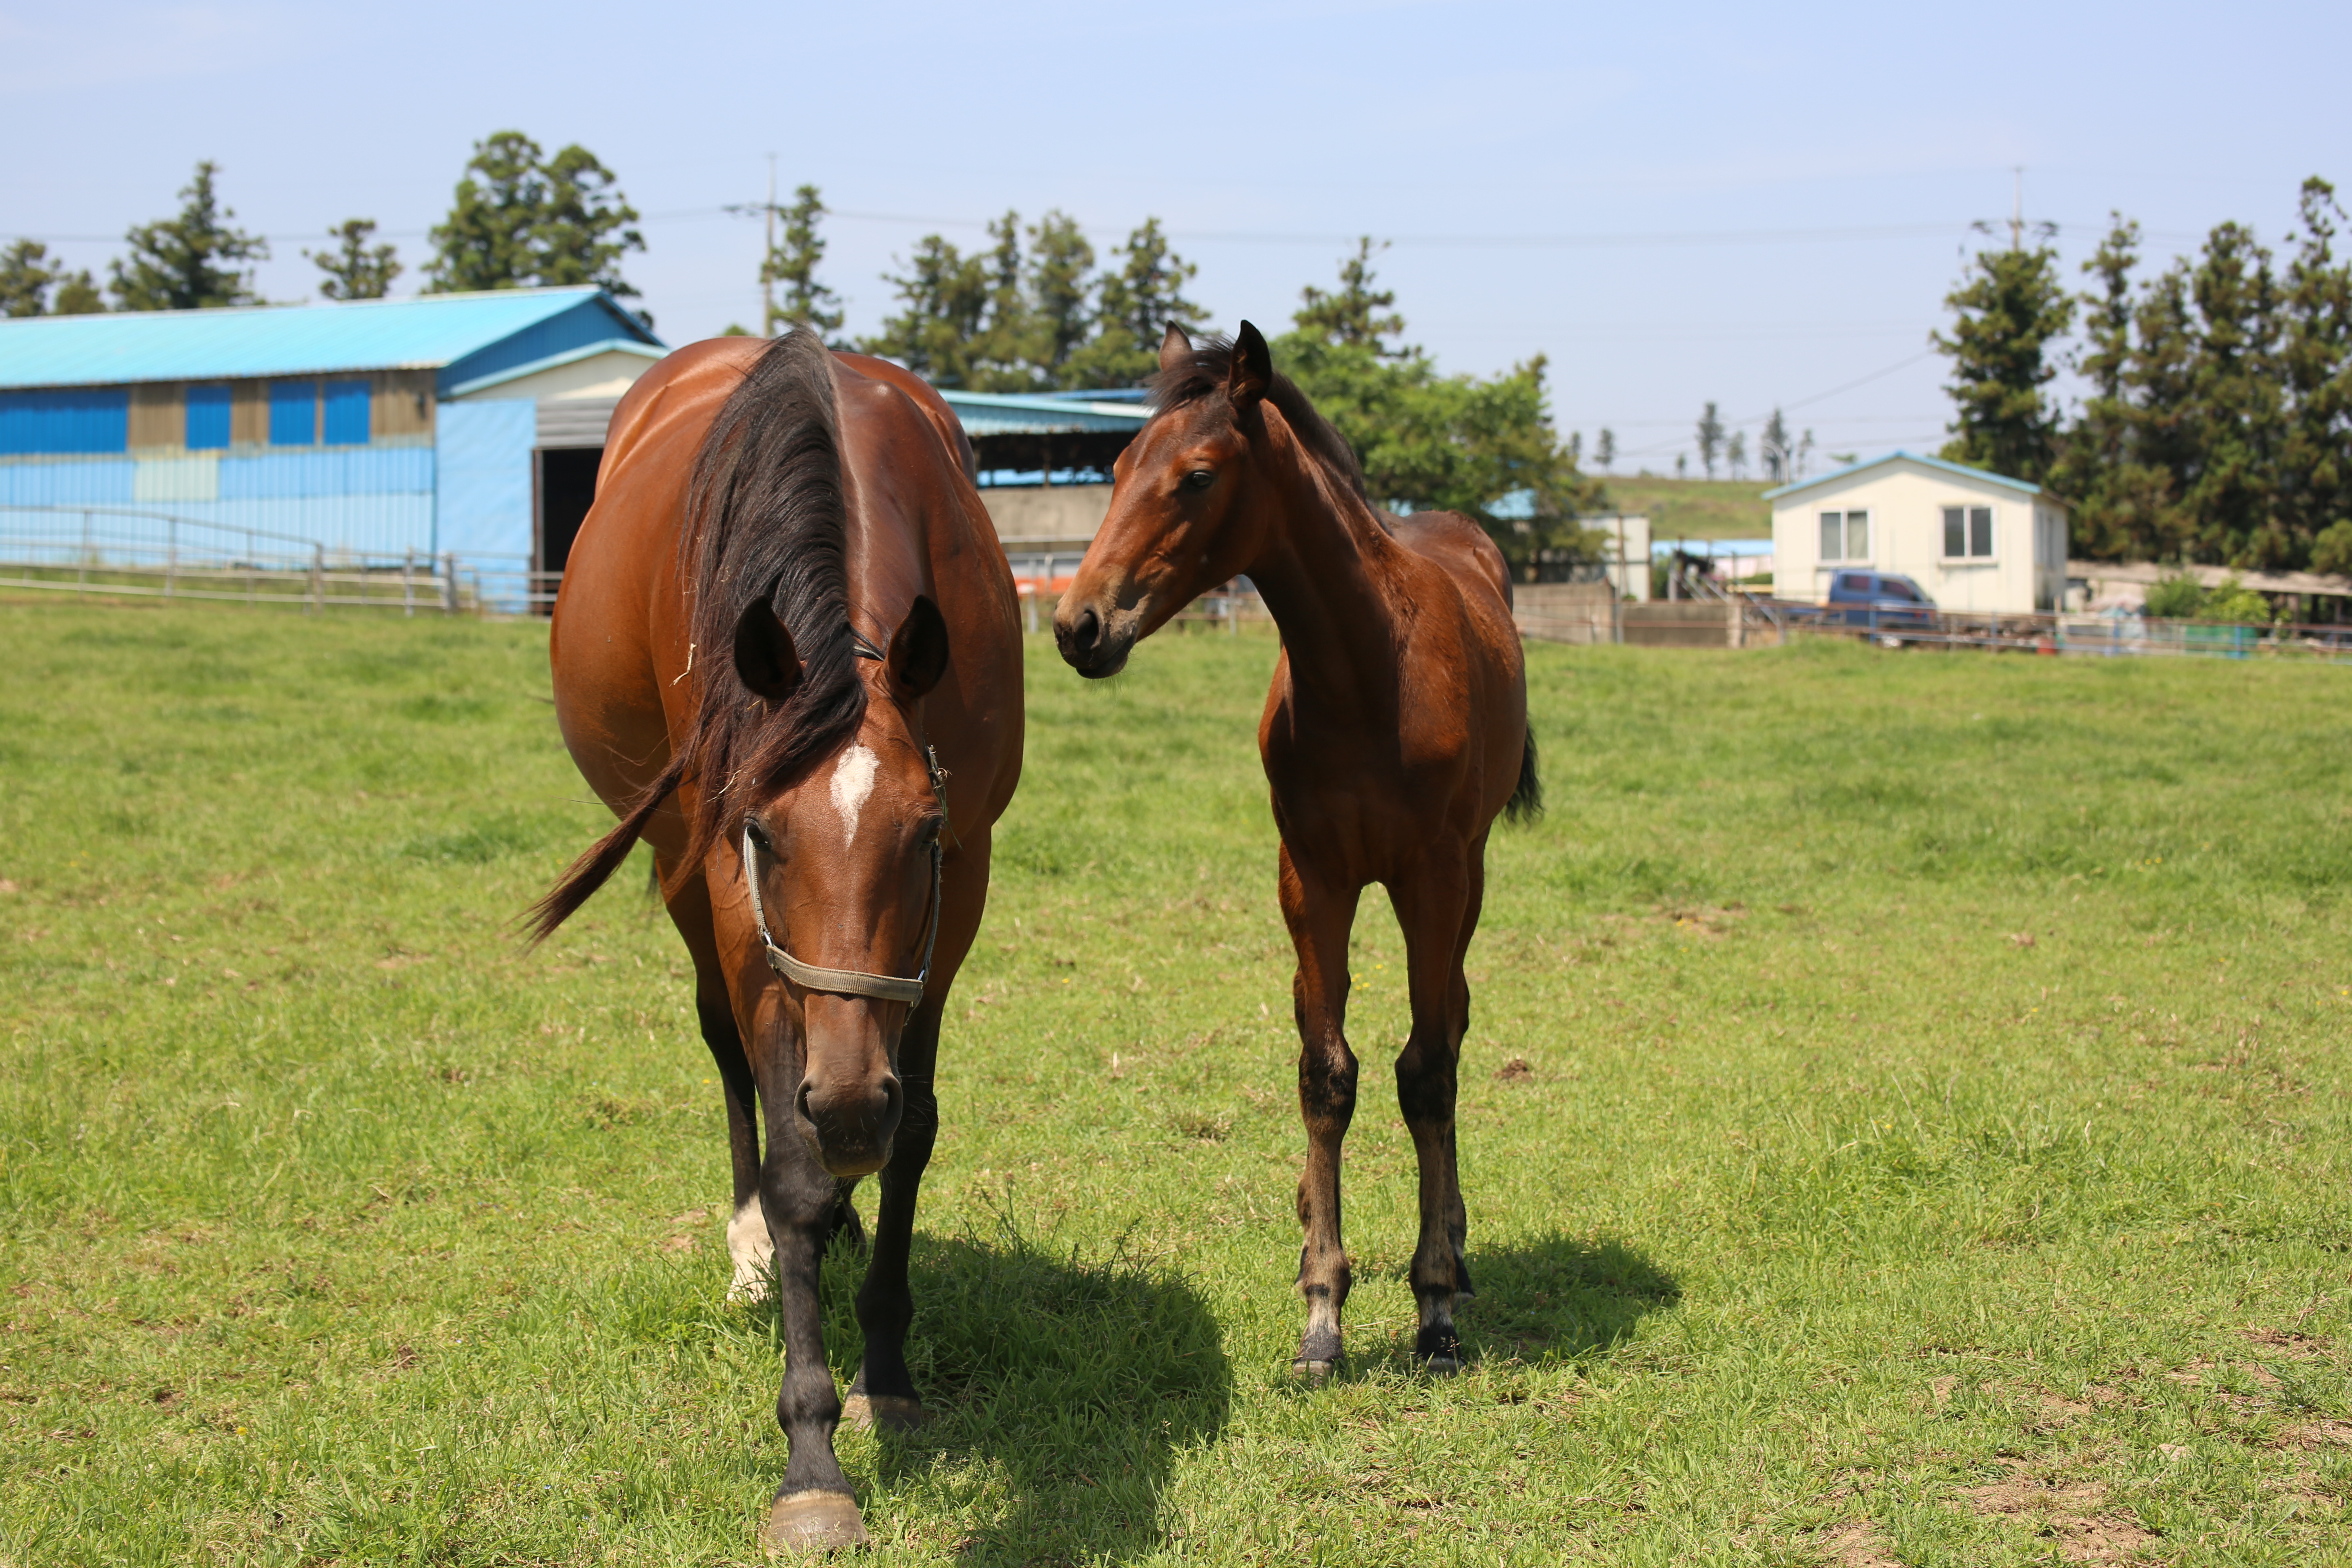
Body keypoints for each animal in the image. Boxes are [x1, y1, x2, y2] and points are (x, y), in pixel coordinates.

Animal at [1058, 324, 1533, 1382]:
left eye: (1196, 476)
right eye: (1115, 466)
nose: (1077, 625)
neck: (1366, 672)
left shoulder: (1432, 874)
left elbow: (1426, 1070)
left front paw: (1434, 1307)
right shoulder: (1310, 877)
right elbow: (1326, 1073)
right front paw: (1322, 1309)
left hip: (1470, 875)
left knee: (1454, 1021)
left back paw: (1458, 1241)